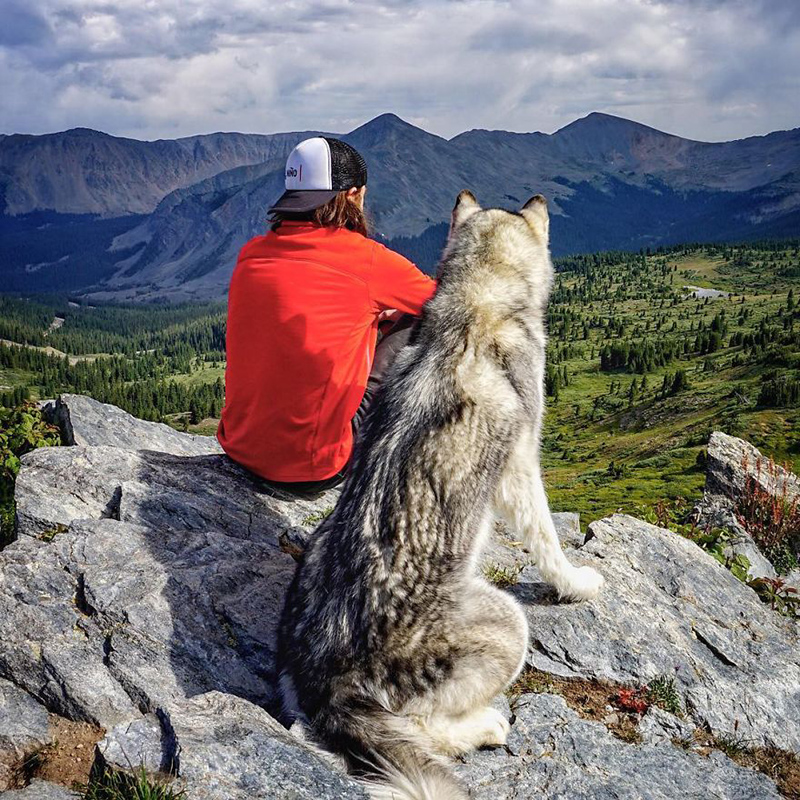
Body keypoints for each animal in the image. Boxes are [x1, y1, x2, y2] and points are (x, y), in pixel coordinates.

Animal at [278, 192, 604, 800]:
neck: (478, 301)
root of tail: (329, 682)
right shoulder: (521, 464)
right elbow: (547, 538)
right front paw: (575, 582)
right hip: (508, 624)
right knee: (424, 728)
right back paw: (485, 727)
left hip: (314, 552)